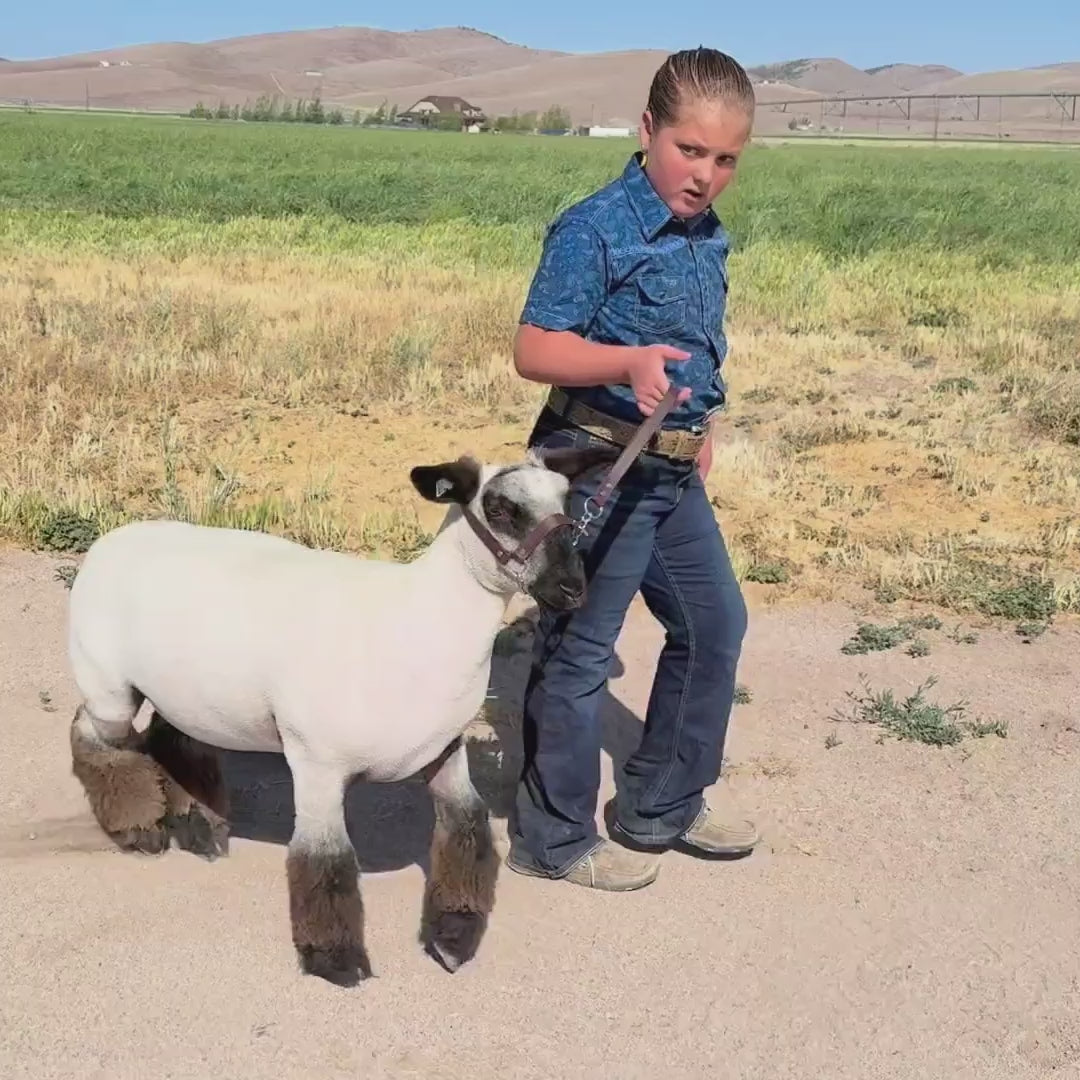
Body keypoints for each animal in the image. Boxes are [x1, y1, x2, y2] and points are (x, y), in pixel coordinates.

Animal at [65, 443, 618, 986]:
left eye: (567, 502)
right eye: (501, 509)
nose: (573, 588)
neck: (417, 622)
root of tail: (111, 541)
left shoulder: (444, 748)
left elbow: (468, 826)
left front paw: (454, 935)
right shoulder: (317, 763)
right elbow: (324, 858)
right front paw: (334, 958)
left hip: (189, 690)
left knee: (174, 737)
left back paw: (200, 828)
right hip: (108, 684)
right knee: (95, 740)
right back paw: (138, 828)